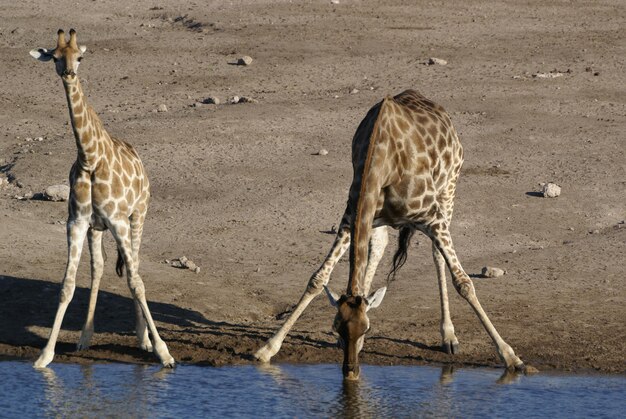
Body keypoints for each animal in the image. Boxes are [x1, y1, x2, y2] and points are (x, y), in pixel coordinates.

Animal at [29, 29, 173, 370]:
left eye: (80, 56)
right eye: (55, 57)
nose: (69, 73)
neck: (90, 158)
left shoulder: (119, 221)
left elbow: (135, 281)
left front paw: (163, 352)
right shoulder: (77, 222)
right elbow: (67, 285)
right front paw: (45, 355)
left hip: (138, 216)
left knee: (136, 267)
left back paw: (144, 339)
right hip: (97, 229)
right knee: (99, 269)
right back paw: (85, 337)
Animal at [252, 89, 520, 380]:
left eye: (366, 328)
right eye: (337, 327)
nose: (350, 371)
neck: (382, 159)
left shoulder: (432, 216)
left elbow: (463, 282)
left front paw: (510, 356)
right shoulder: (353, 214)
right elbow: (318, 277)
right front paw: (267, 348)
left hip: (448, 190)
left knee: (437, 255)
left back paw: (449, 337)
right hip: (378, 218)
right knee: (379, 246)